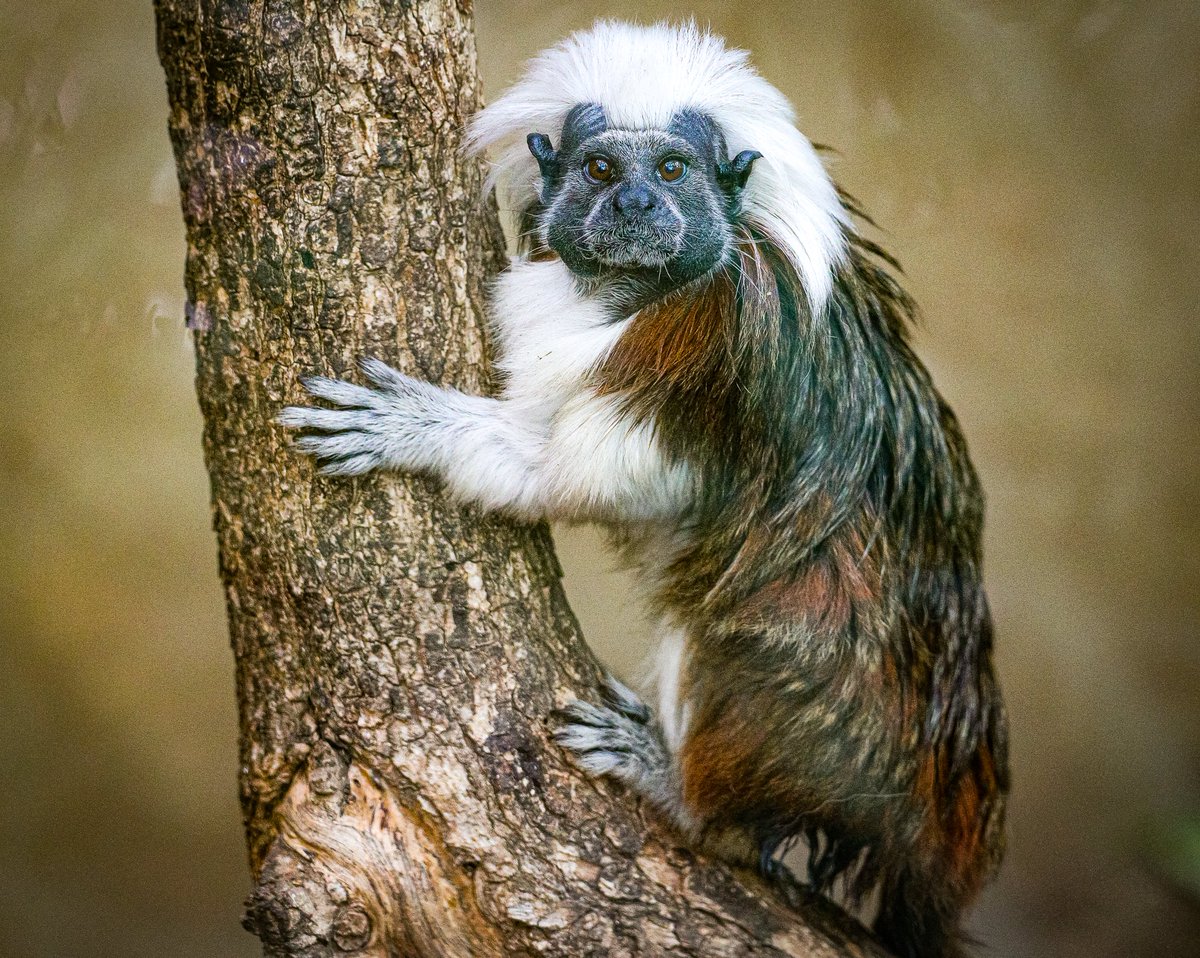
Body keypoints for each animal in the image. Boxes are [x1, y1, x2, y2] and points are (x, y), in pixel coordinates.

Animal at [279, 21, 1008, 958]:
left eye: (669, 170)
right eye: (599, 169)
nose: (633, 206)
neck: (625, 293)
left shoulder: (690, 349)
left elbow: (574, 477)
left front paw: (418, 427)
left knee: (743, 638)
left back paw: (688, 796)